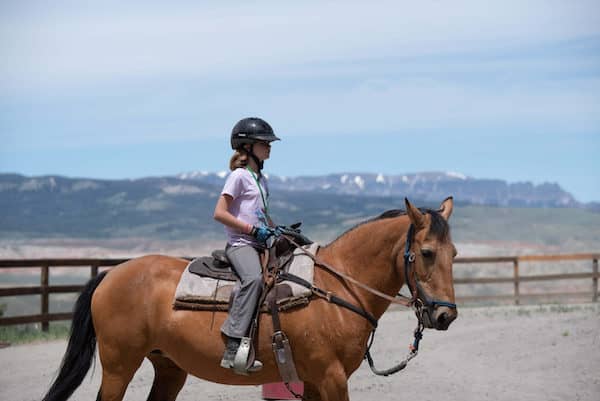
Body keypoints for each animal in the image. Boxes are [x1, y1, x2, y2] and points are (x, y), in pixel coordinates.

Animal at [44, 197, 458, 400]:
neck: (337, 286)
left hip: (169, 367)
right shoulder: (332, 378)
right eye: (426, 253)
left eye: (453, 253)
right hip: (119, 366)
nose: (445, 316)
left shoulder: (314, 381)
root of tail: (110, 275)